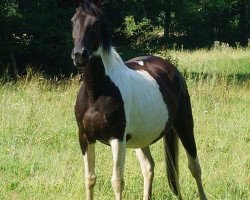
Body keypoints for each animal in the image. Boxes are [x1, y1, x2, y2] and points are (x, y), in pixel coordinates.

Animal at [72, 0, 207, 199]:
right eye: (73, 21)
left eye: (96, 23)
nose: (79, 55)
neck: (95, 93)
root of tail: (171, 69)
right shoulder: (85, 137)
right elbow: (90, 179)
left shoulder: (117, 139)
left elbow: (117, 182)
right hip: (141, 138)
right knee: (148, 167)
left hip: (184, 125)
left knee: (194, 167)